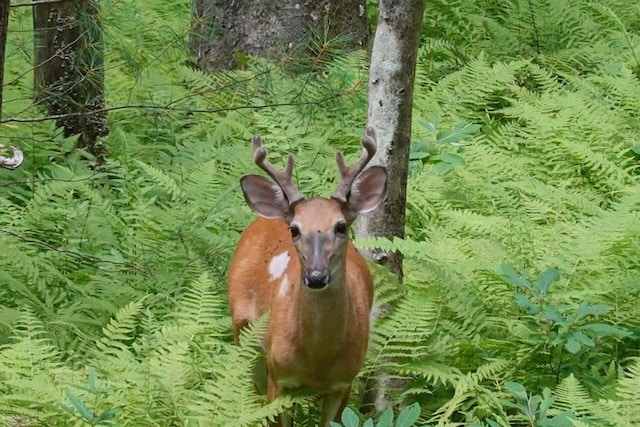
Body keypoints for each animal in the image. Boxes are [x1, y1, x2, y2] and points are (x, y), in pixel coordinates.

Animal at [229, 128, 388, 427]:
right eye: (294, 229)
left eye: (341, 226)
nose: (315, 276)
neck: (318, 362)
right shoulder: (279, 377)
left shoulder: (344, 382)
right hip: (243, 332)